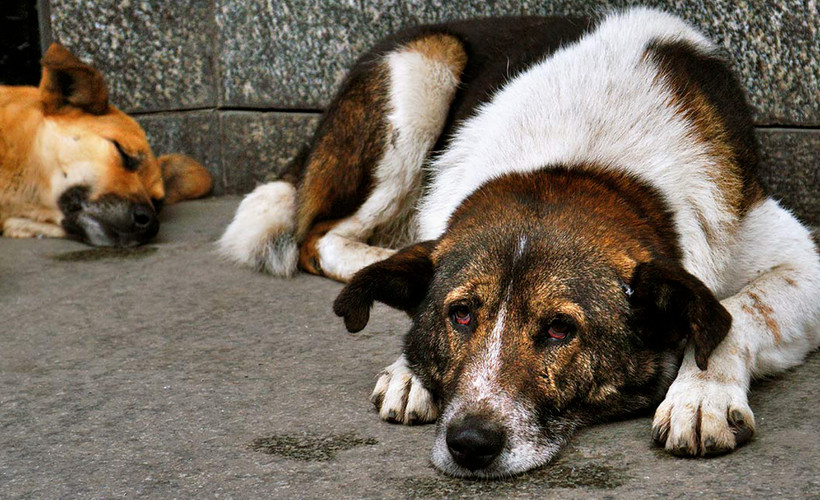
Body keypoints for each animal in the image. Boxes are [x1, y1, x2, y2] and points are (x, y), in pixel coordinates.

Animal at [219, 7, 820, 476]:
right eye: (461, 315)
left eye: (560, 329)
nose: (470, 443)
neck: (578, 164)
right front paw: (408, 368)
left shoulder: (799, 257)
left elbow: (738, 311)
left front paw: (701, 394)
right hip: (422, 66)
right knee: (318, 237)